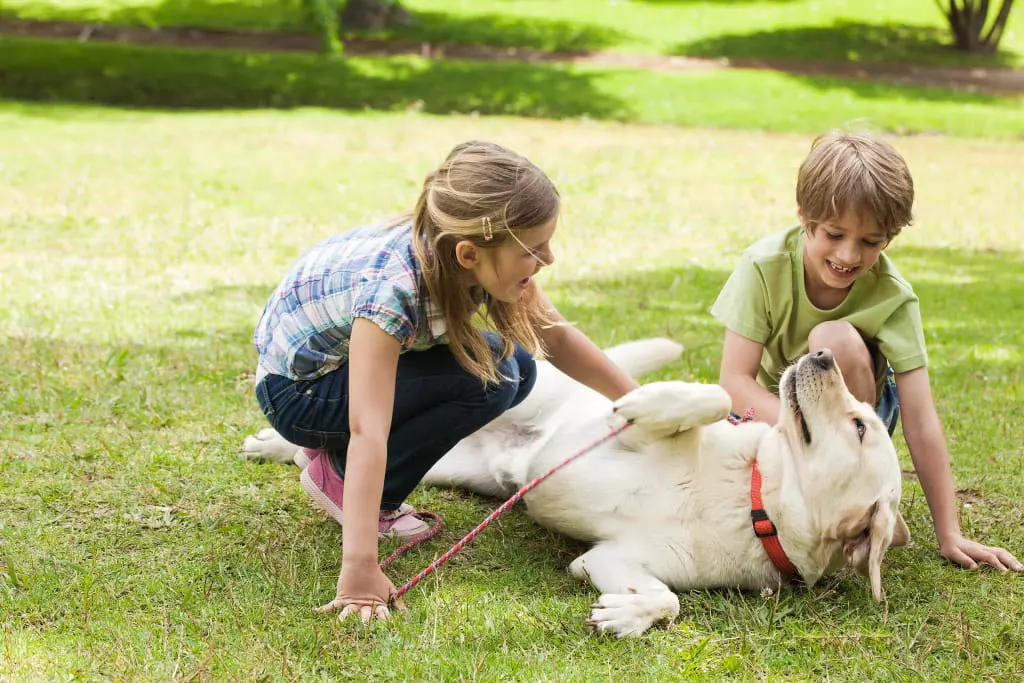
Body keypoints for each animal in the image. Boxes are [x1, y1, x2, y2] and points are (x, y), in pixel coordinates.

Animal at [241, 339, 913, 638]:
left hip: (458, 467)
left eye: (860, 425)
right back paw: (271, 444)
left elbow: (668, 600)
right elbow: (712, 396)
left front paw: (625, 615)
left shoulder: (607, 560)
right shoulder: (620, 431)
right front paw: (654, 399)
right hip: (511, 387)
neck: (752, 498)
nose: (822, 354)